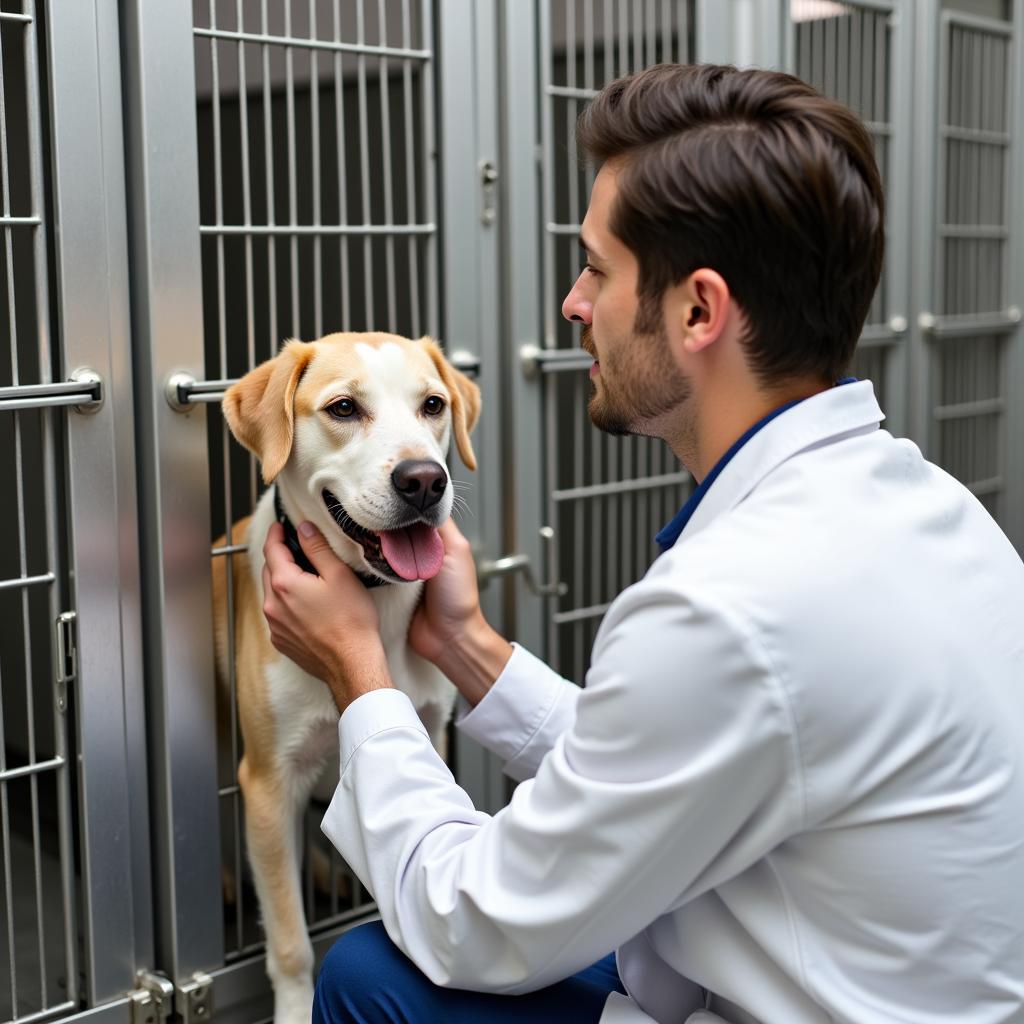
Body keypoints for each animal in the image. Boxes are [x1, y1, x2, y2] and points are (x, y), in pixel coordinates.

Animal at [210, 333, 479, 1024]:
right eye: (343, 408)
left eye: (433, 405)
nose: (424, 480)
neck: (375, 609)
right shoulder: (269, 779)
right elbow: (289, 940)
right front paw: (294, 1009)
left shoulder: (430, 735)